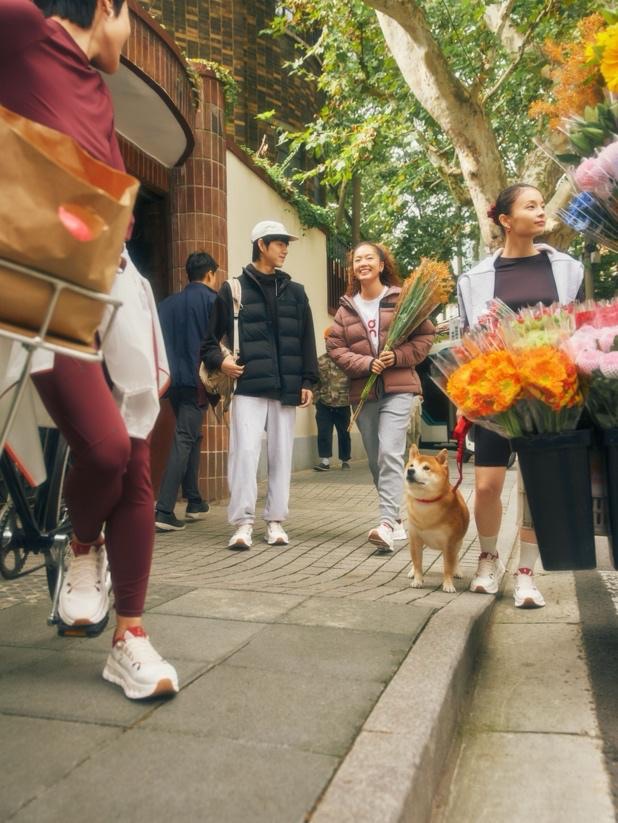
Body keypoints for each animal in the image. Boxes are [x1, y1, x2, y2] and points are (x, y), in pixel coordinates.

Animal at [404, 444, 466, 592]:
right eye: (411, 465)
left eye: (426, 468)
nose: (410, 471)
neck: (426, 504)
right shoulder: (415, 539)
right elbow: (417, 563)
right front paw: (417, 580)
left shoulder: (449, 543)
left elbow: (448, 566)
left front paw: (448, 584)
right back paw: (412, 572)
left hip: (458, 542)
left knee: (456, 557)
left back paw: (457, 571)